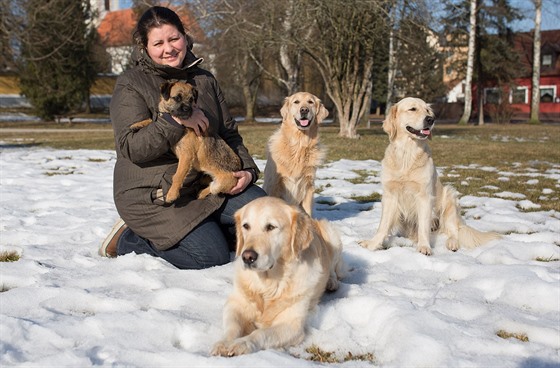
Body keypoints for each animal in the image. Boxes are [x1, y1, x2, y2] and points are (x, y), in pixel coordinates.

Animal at [212, 198, 346, 356]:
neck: (268, 284)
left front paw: (242, 343)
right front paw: (224, 343)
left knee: (333, 266)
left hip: (332, 235)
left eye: (271, 227)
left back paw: (331, 282)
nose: (247, 257)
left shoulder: (292, 325)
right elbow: (232, 327)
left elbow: (261, 333)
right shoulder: (234, 304)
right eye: (246, 226)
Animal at [358, 96, 498, 254]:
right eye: (412, 109)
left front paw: (424, 247)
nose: (431, 119)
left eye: (427, 110)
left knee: (453, 230)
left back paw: (452, 243)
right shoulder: (390, 195)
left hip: (450, 197)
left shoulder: (424, 196)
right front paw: (372, 244)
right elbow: (383, 226)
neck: (407, 153)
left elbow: (423, 226)